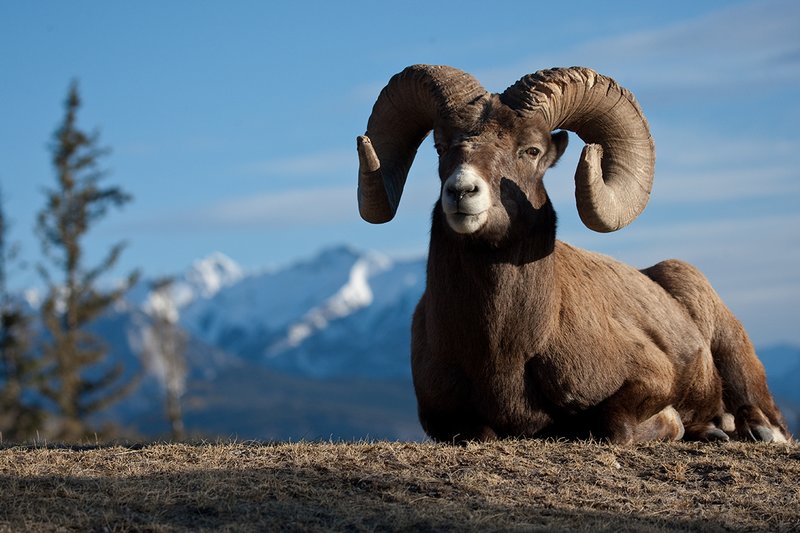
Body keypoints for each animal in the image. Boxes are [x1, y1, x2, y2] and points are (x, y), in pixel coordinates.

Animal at [355, 65, 791, 444]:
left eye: (531, 151)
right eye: (441, 148)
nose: (462, 192)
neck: (505, 350)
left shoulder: (653, 376)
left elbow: (612, 425)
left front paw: (674, 425)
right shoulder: (442, 418)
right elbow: (478, 432)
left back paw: (750, 431)